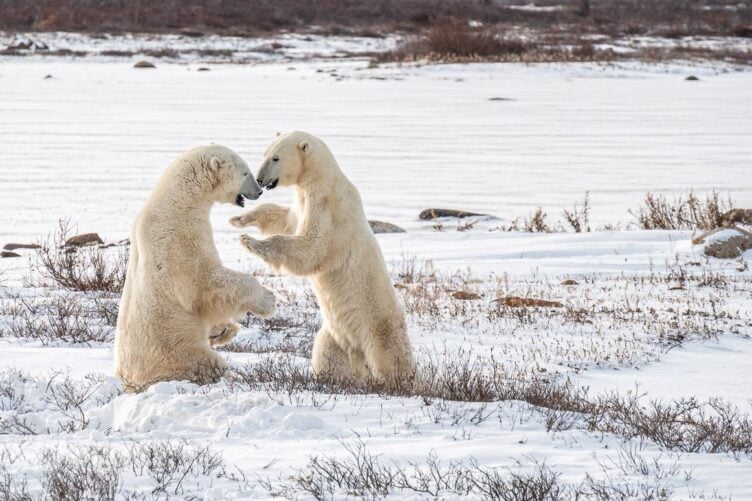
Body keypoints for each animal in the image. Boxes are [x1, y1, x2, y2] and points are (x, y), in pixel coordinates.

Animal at [119, 145, 278, 390]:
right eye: (245, 172)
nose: (259, 191)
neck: (179, 199)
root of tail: (130, 381)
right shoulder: (179, 236)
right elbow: (204, 281)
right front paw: (268, 300)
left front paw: (224, 329)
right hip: (175, 350)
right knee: (207, 364)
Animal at [231, 131, 414, 384]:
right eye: (265, 154)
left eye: (276, 158)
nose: (260, 179)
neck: (322, 178)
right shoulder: (303, 204)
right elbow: (286, 221)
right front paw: (240, 218)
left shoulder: (328, 206)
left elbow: (312, 247)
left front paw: (250, 241)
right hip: (335, 336)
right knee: (327, 356)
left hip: (378, 327)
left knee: (390, 358)